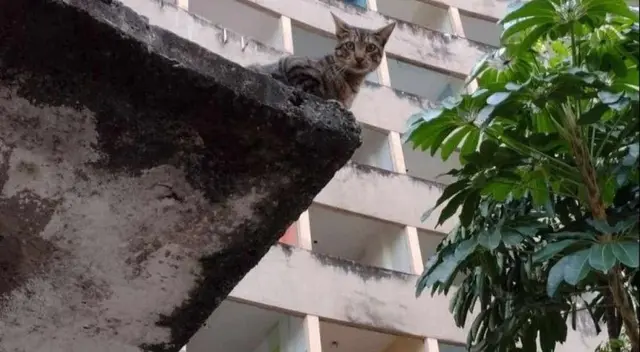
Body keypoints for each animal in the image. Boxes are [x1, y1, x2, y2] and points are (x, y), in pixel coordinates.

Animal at [249, 12, 396, 108]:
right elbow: (311, 89)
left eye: (370, 47)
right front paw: (332, 100)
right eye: (350, 45)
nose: (359, 58)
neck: (352, 80)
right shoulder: (294, 64)